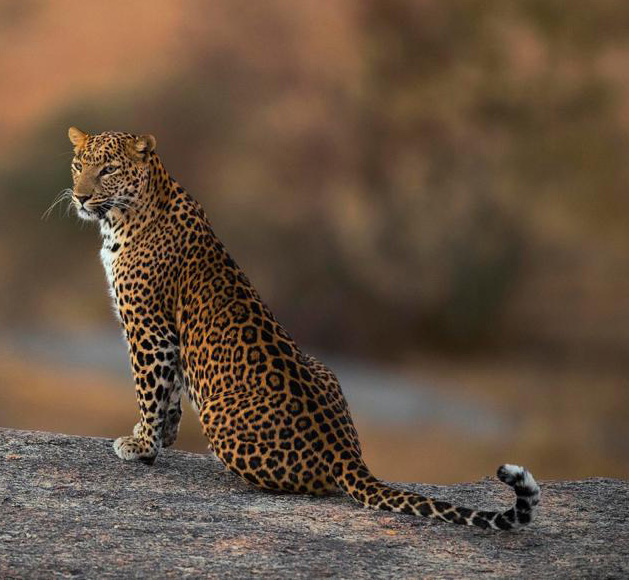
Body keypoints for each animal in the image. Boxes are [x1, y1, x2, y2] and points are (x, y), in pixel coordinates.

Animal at [63, 127, 536, 532]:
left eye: (108, 169)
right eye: (78, 164)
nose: (81, 197)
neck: (127, 215)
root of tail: (345, 453)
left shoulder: (148, 326)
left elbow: (151, 387)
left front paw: (142, 444)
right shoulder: (164, 336)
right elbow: (171, 390)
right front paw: (164, 437)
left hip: (217, 413)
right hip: (325, 368)